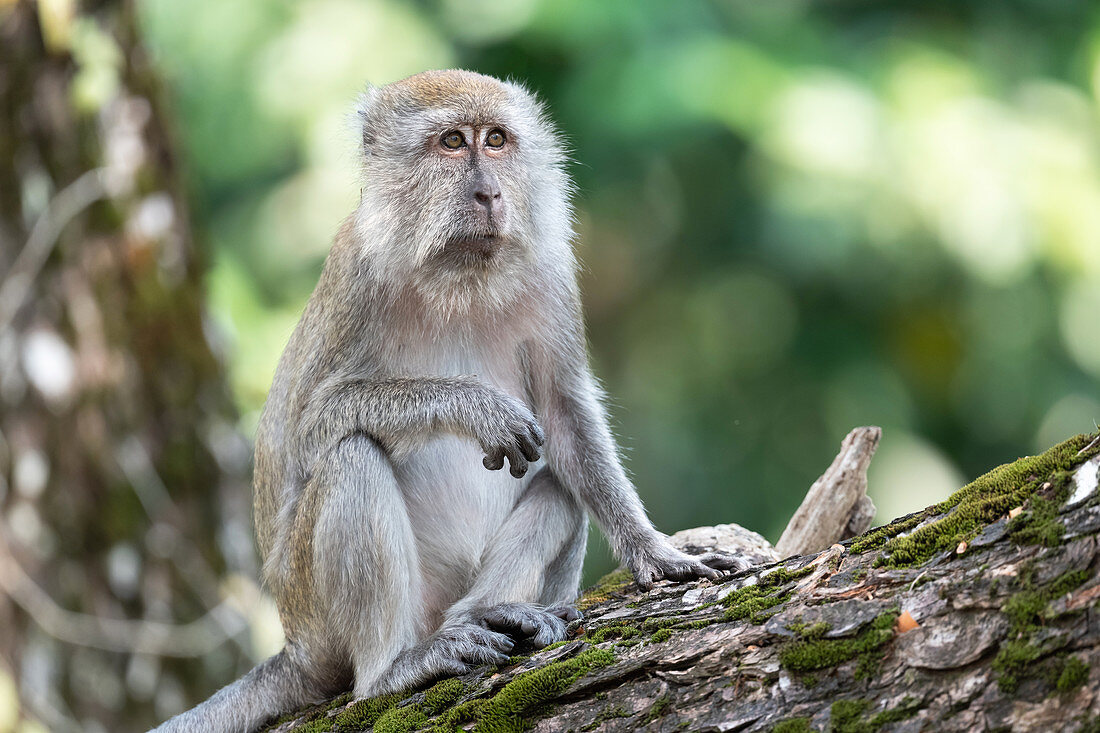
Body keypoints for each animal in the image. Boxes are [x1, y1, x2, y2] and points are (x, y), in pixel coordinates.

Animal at [155, 68, 748, 730]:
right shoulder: (355, 275)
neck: (460, 272)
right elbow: (307, 427)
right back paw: (393, 669)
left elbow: (566, 416)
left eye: (495, 140)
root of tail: (296, 646)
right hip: (315, 610)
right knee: (350, 456)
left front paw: (656, 553)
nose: (489, 193)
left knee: (561, 483)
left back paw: (489, 614)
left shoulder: (551, 274)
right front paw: (472, 407)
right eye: (451, 143)